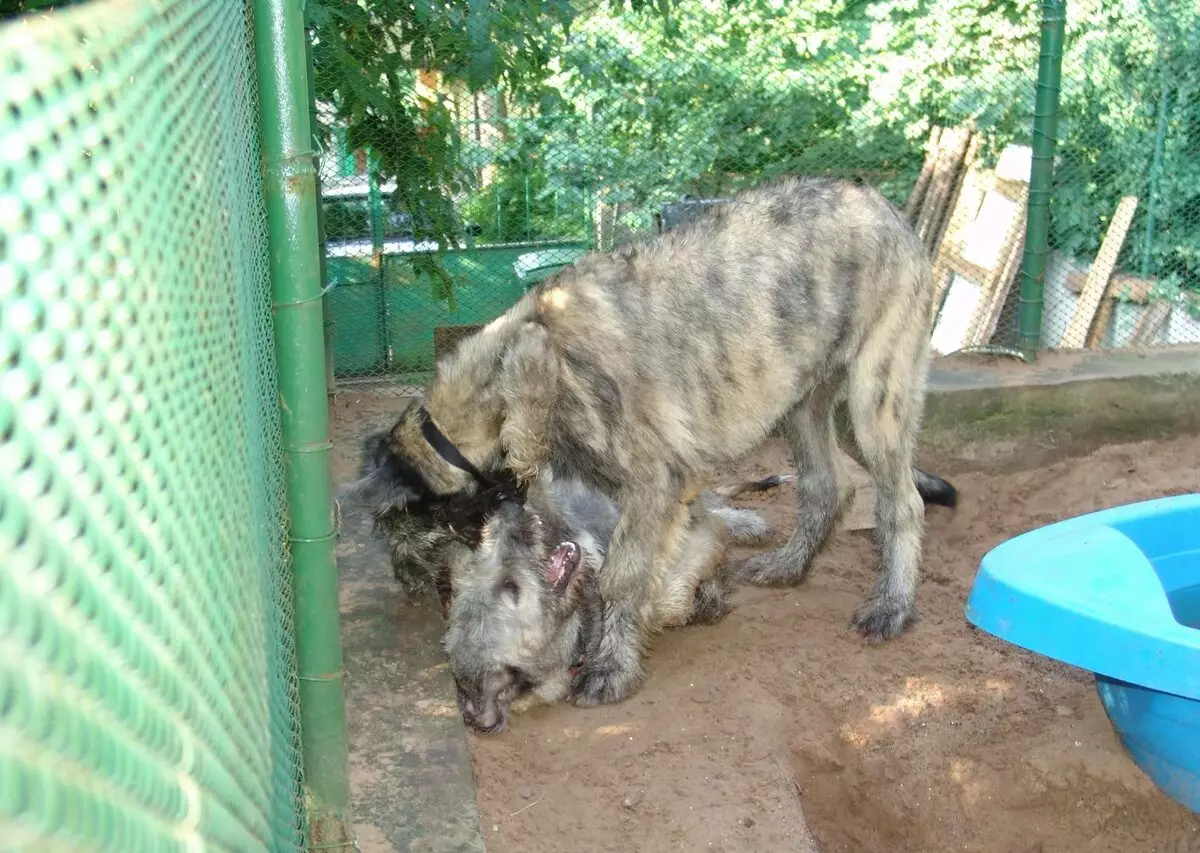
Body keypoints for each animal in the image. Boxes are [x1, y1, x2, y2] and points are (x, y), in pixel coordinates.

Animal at [345, 175, 955, 705]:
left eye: (408, 536)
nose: (412, 589)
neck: (510, 375)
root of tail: (884, 204)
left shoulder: (653, 482)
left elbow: (622, 576)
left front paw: (612, 667)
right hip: (801, 403)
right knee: (828, 485)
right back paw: (790, 566)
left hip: (877, 398)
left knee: (902, 502)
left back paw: (892, 606)